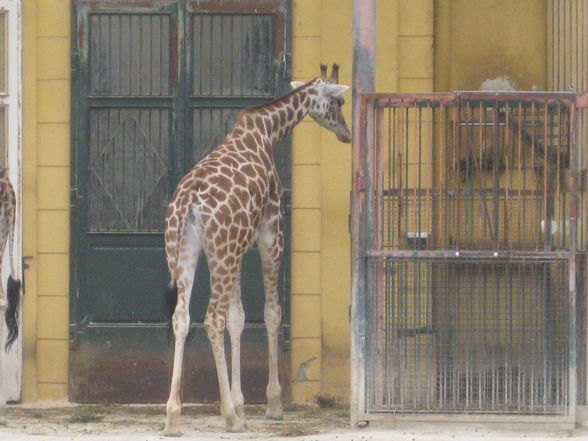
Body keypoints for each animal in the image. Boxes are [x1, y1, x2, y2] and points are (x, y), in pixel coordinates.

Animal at [162, 63, 350, 434]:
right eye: (339, 102)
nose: (346, 135)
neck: (265, 132)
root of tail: (188, 201)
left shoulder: (239, 248)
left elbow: (238, 319)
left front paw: (242, 403)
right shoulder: (269, 236)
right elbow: (271, 313)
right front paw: (270, 405)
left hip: (189, 252)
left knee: (182, 317)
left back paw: (174, 417)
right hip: (221, 252)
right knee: (211, 319)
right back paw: (229, 418)